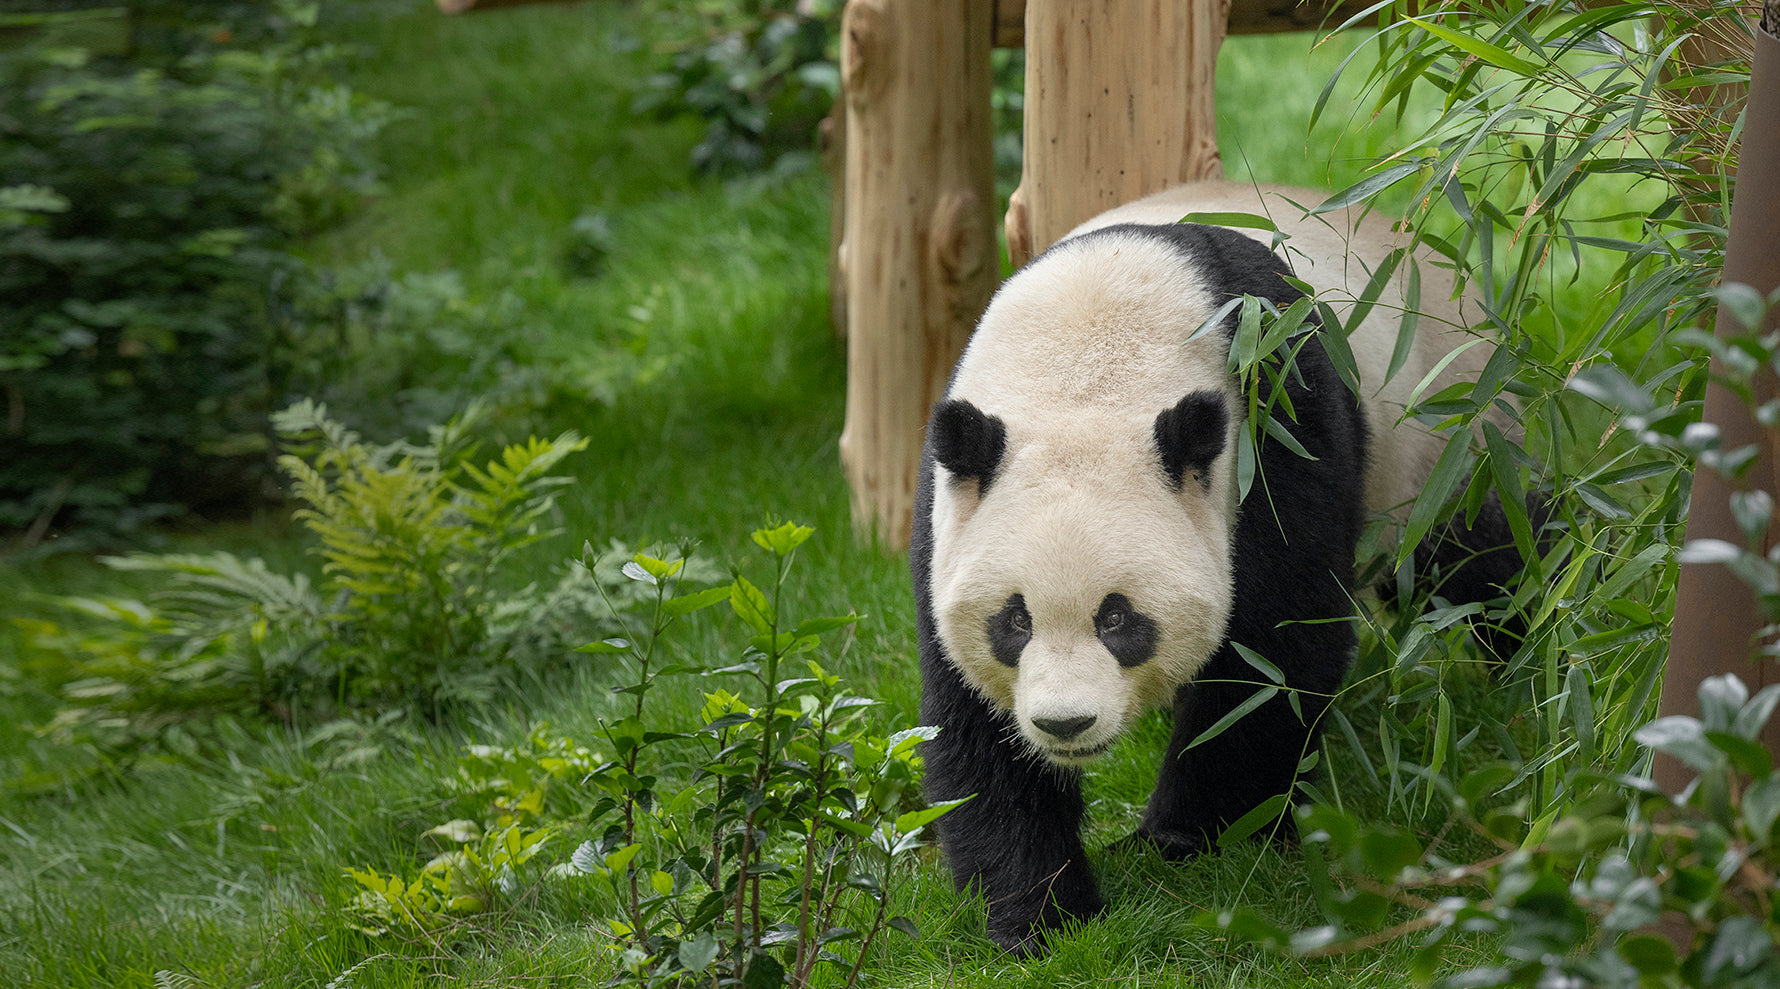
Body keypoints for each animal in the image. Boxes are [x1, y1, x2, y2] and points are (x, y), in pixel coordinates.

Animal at [911, 179, 1523, 960]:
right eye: (1013, 621)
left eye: (1119, 619)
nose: (1066, 723)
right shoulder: (949, 507)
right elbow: (974, 724)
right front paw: (1039, 916)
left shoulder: (1275, 420)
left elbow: (1273, 655)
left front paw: (1187, 841)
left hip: (1447, 437)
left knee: (1484, 561)